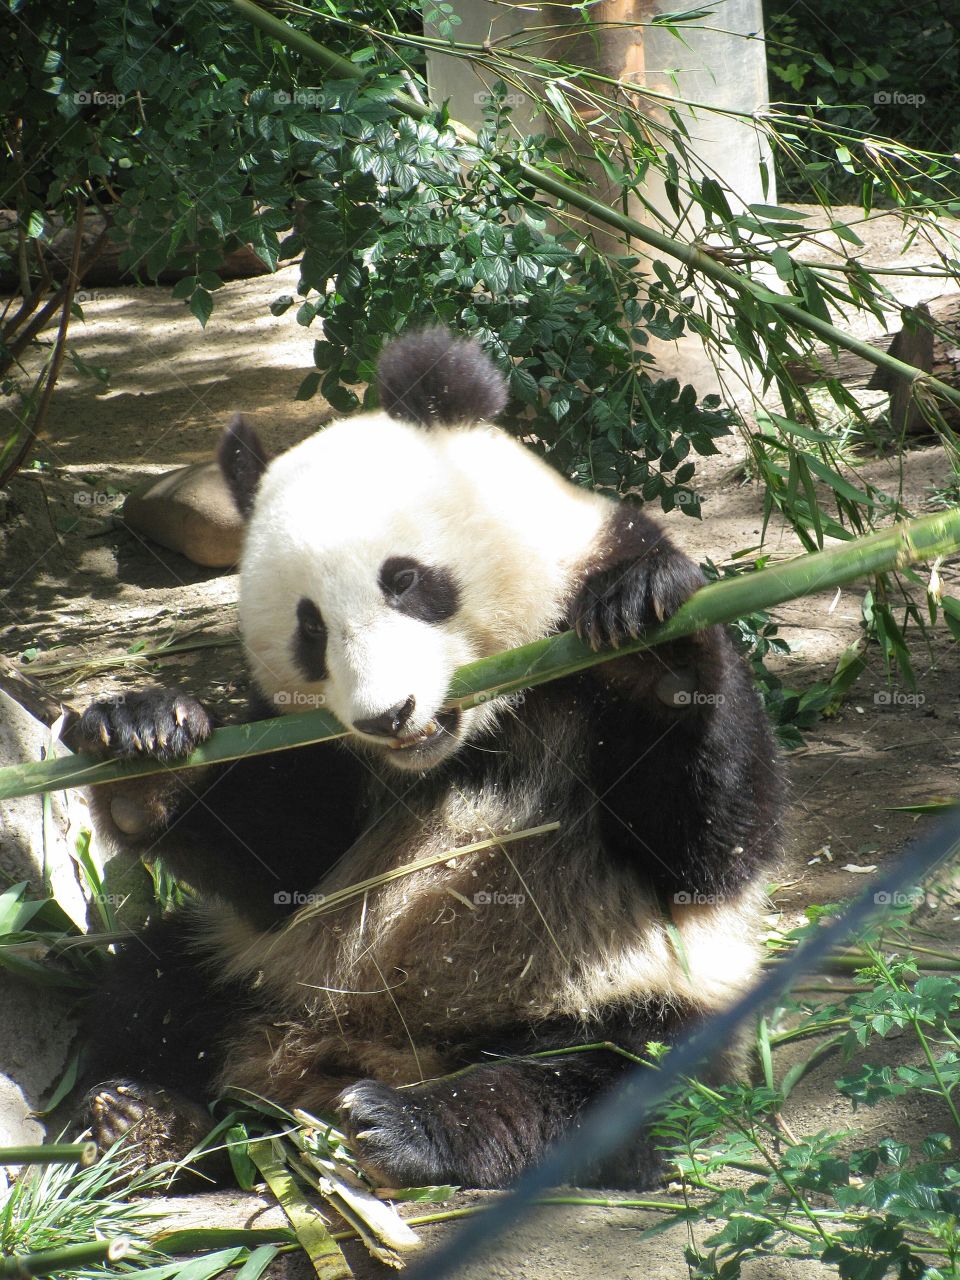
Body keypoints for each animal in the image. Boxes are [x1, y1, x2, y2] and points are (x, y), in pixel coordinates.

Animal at [79, 327, 783, 1189]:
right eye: (310, 628)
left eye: (406, 580)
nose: (388, 716)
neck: (471, 739)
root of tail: (338, 1060)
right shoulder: (309, 745)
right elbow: (281, 859)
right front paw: (145, 742)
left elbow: (703, 850)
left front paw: (648, 626)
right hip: (255, 969)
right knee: (151, 990)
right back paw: (145, 1120)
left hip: (618, 990)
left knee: (604, 1080)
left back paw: (411, 1126)